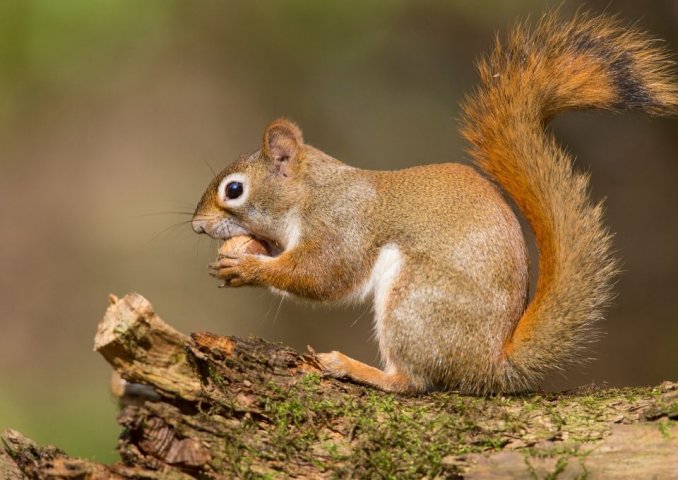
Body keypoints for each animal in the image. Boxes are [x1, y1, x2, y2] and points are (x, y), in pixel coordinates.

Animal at [191, 13, 678, 394]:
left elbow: (323, 276)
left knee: (412, 381)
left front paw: (247, 268)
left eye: (233, 190)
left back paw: (354, 367)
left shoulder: (342, 225)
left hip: (413, 301)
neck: (312, 192)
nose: (197, 225)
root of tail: (490, 364)